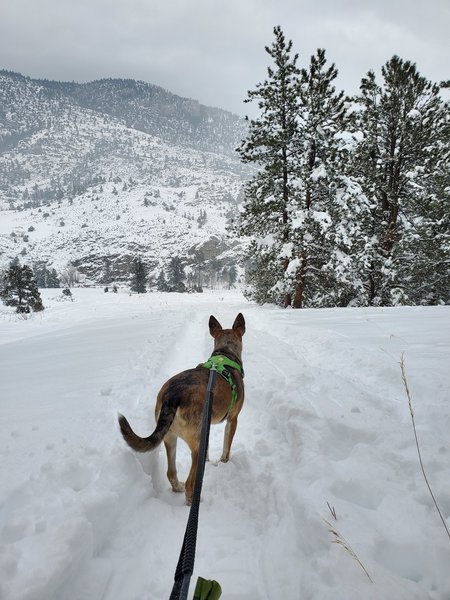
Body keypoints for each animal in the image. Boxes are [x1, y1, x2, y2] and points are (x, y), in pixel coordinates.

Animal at [118, 312, 246, 504]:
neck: (225, 354)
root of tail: (173, 395)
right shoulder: (233, 419)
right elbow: (226, 447)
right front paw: (224, 463)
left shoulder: (206, 426)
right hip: (195, 442)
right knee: (190, 484)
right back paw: (193, 499)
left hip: (170, 436)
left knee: (171, 473)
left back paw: (178, 486)